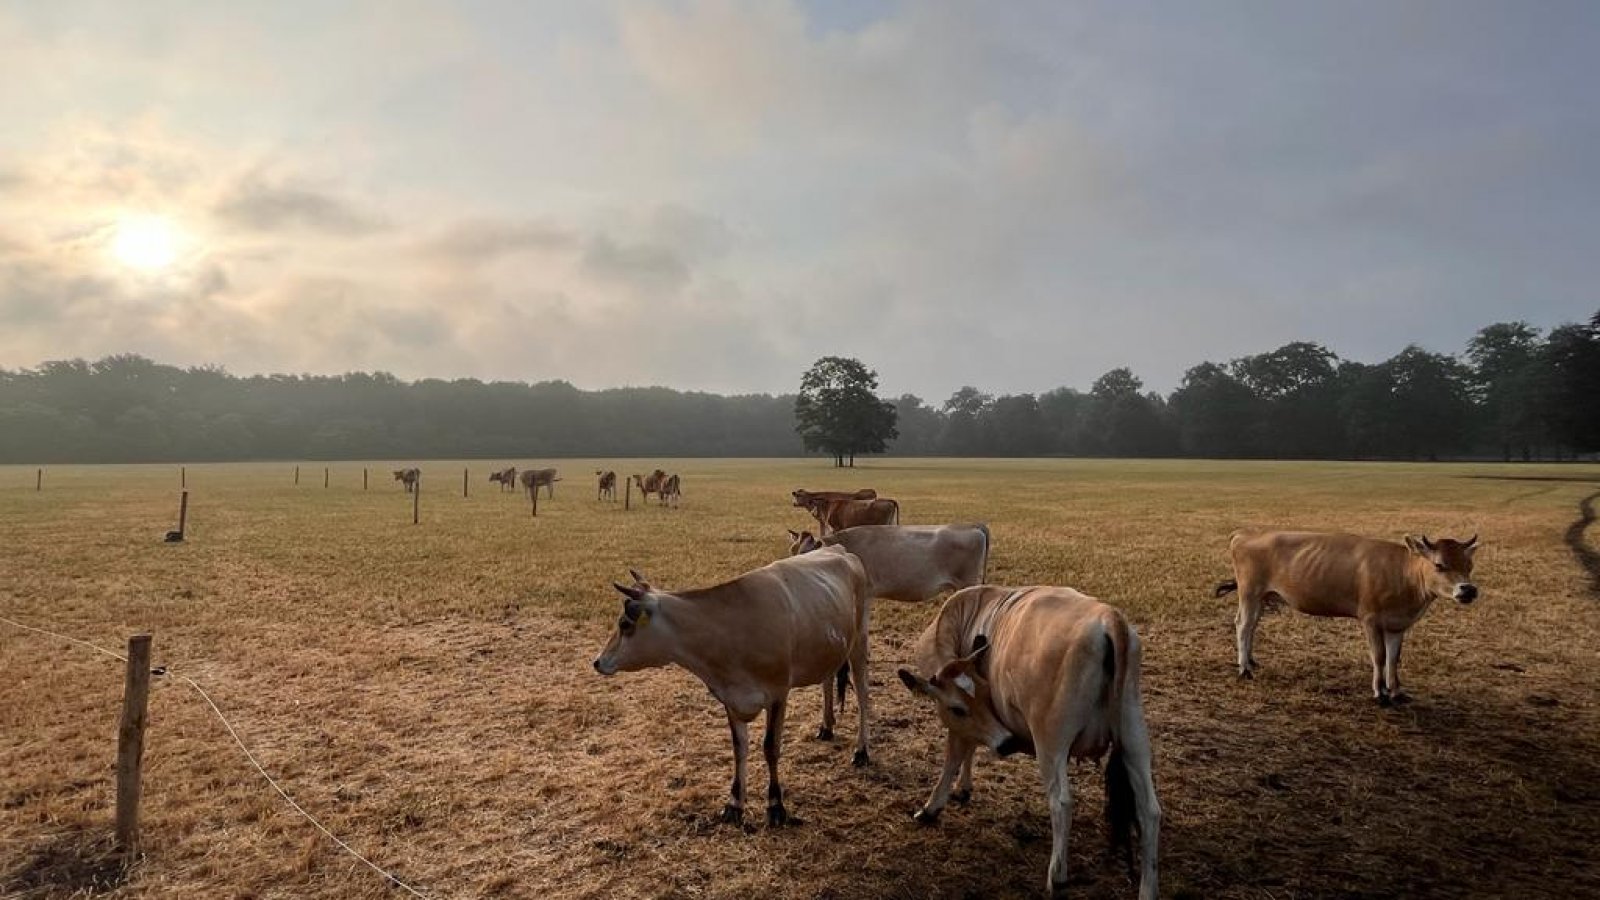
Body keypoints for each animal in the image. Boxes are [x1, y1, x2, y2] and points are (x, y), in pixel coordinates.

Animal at [592, 544, 876, 826]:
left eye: (625, 624)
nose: (598, 662)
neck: (732, 630)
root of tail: (841, 549)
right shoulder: (729, 696)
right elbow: (739, 748)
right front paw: (734, 804)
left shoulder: (778, 693)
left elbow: (770, 747)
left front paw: (776, 806)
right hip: (829, 648)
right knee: (827, 681)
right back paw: (826, 727)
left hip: (859, 639)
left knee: (863, 694)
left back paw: (861, 751)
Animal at [896, 586, 1158, 890]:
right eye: (965, 704)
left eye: (984, 694)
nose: (1007, 743)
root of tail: (1108, 618)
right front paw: (963, 788)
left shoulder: (961, 728)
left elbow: (953, 757)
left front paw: (930, 808)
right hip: (1133, 736)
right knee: (1149, 811)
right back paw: (1148, 887)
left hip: (1050, 743)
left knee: (1062, 804)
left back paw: (1057, 876)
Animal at [1216, 528, 1478, 704]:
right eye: (1439, 565)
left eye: (1469, 566)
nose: (1468, 590)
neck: (1402, 573)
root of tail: (1245, 535)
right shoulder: (1370, 619)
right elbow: (1379, 656)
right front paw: (1380, 693)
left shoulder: (1397, 624)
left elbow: (1394, 658)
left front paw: (1396, 691)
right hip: (1250, 591)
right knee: (1243, 625)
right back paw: (1244, 669)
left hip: (1262, 596)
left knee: (1252, 626)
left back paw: (1250, 661)